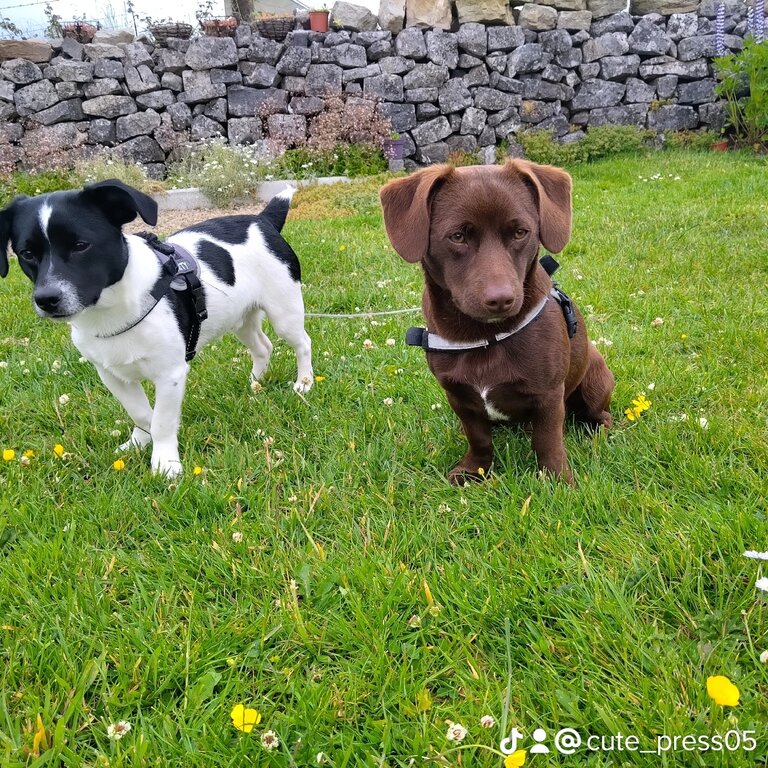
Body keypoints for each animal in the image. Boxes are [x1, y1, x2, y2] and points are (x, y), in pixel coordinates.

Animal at [0, 182, 312, 476]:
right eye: (27, 253)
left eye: (81, 245)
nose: (46, 299)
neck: (113, 310)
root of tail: (263, 220)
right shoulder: (112, 375)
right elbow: (140, 413)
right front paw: (139, 442)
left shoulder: (170, 375)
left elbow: (161, 421)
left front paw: (165, 462)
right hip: (240, 318)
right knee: (263, 347)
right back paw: (255, 383)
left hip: (284, 312)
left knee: (302, 343)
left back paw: (304, 383)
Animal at [380, 159, 616, 484]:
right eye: (457, 236)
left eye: (520, 232)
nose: (501, 299)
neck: (484, 335)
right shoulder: (459, 397)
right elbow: (478, 437)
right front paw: (475, 470)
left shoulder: (549, 395)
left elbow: (548, 439)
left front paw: (556, 479)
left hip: (596, 383)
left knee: (600, 415)